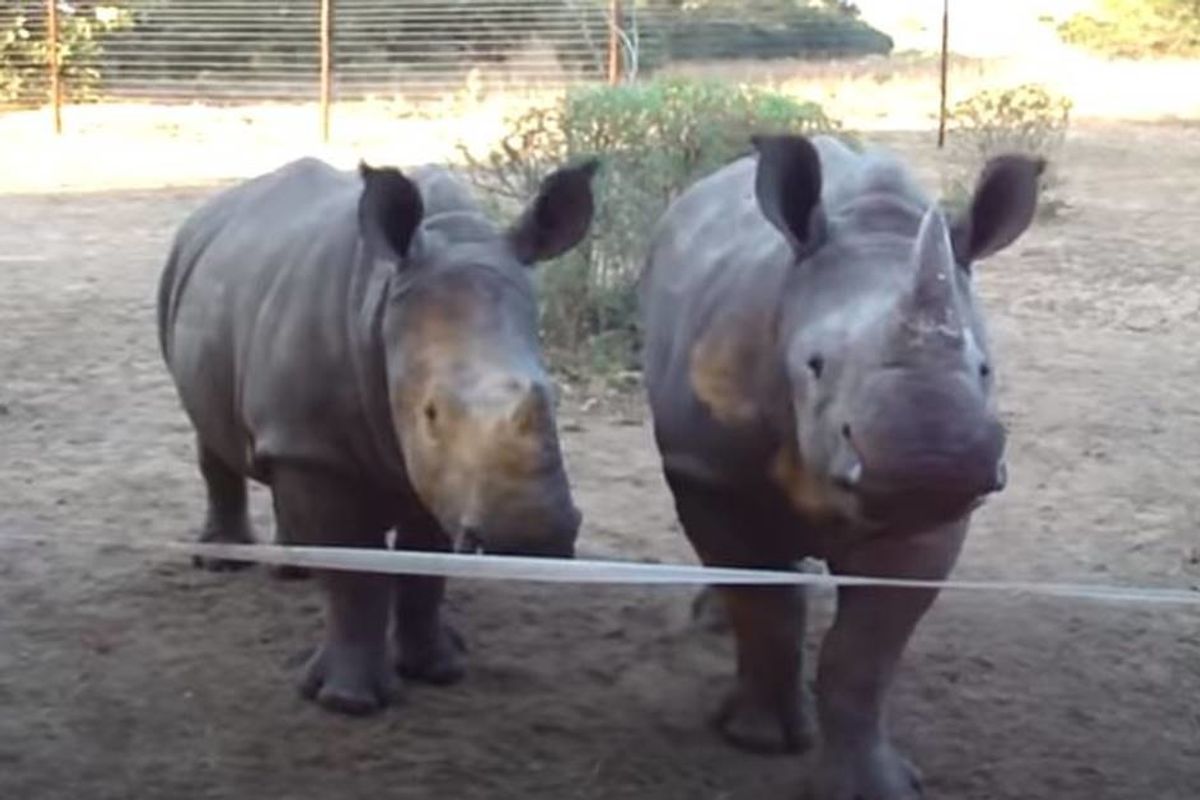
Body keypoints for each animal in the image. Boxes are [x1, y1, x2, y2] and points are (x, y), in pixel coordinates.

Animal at [157, 155, 597, 714]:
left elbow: (424, 568)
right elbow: (354, 575)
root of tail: (210, 212)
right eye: (431, 413)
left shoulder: (439, 476)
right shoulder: (322, 453)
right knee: (210, 437)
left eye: (556, 398)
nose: (531, 539)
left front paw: (438, 669)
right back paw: (222, 563)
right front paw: (348, 701)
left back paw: (295, 569)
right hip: (179, 281)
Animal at [639, 134, 1042, 798]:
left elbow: (864, 651)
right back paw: (712, 623)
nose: (933, 459)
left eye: (985, 368)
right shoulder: (709, 474)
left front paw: (875, 784)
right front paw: (759, 740)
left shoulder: (932, 521)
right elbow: (768, 609)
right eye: (815, 364)